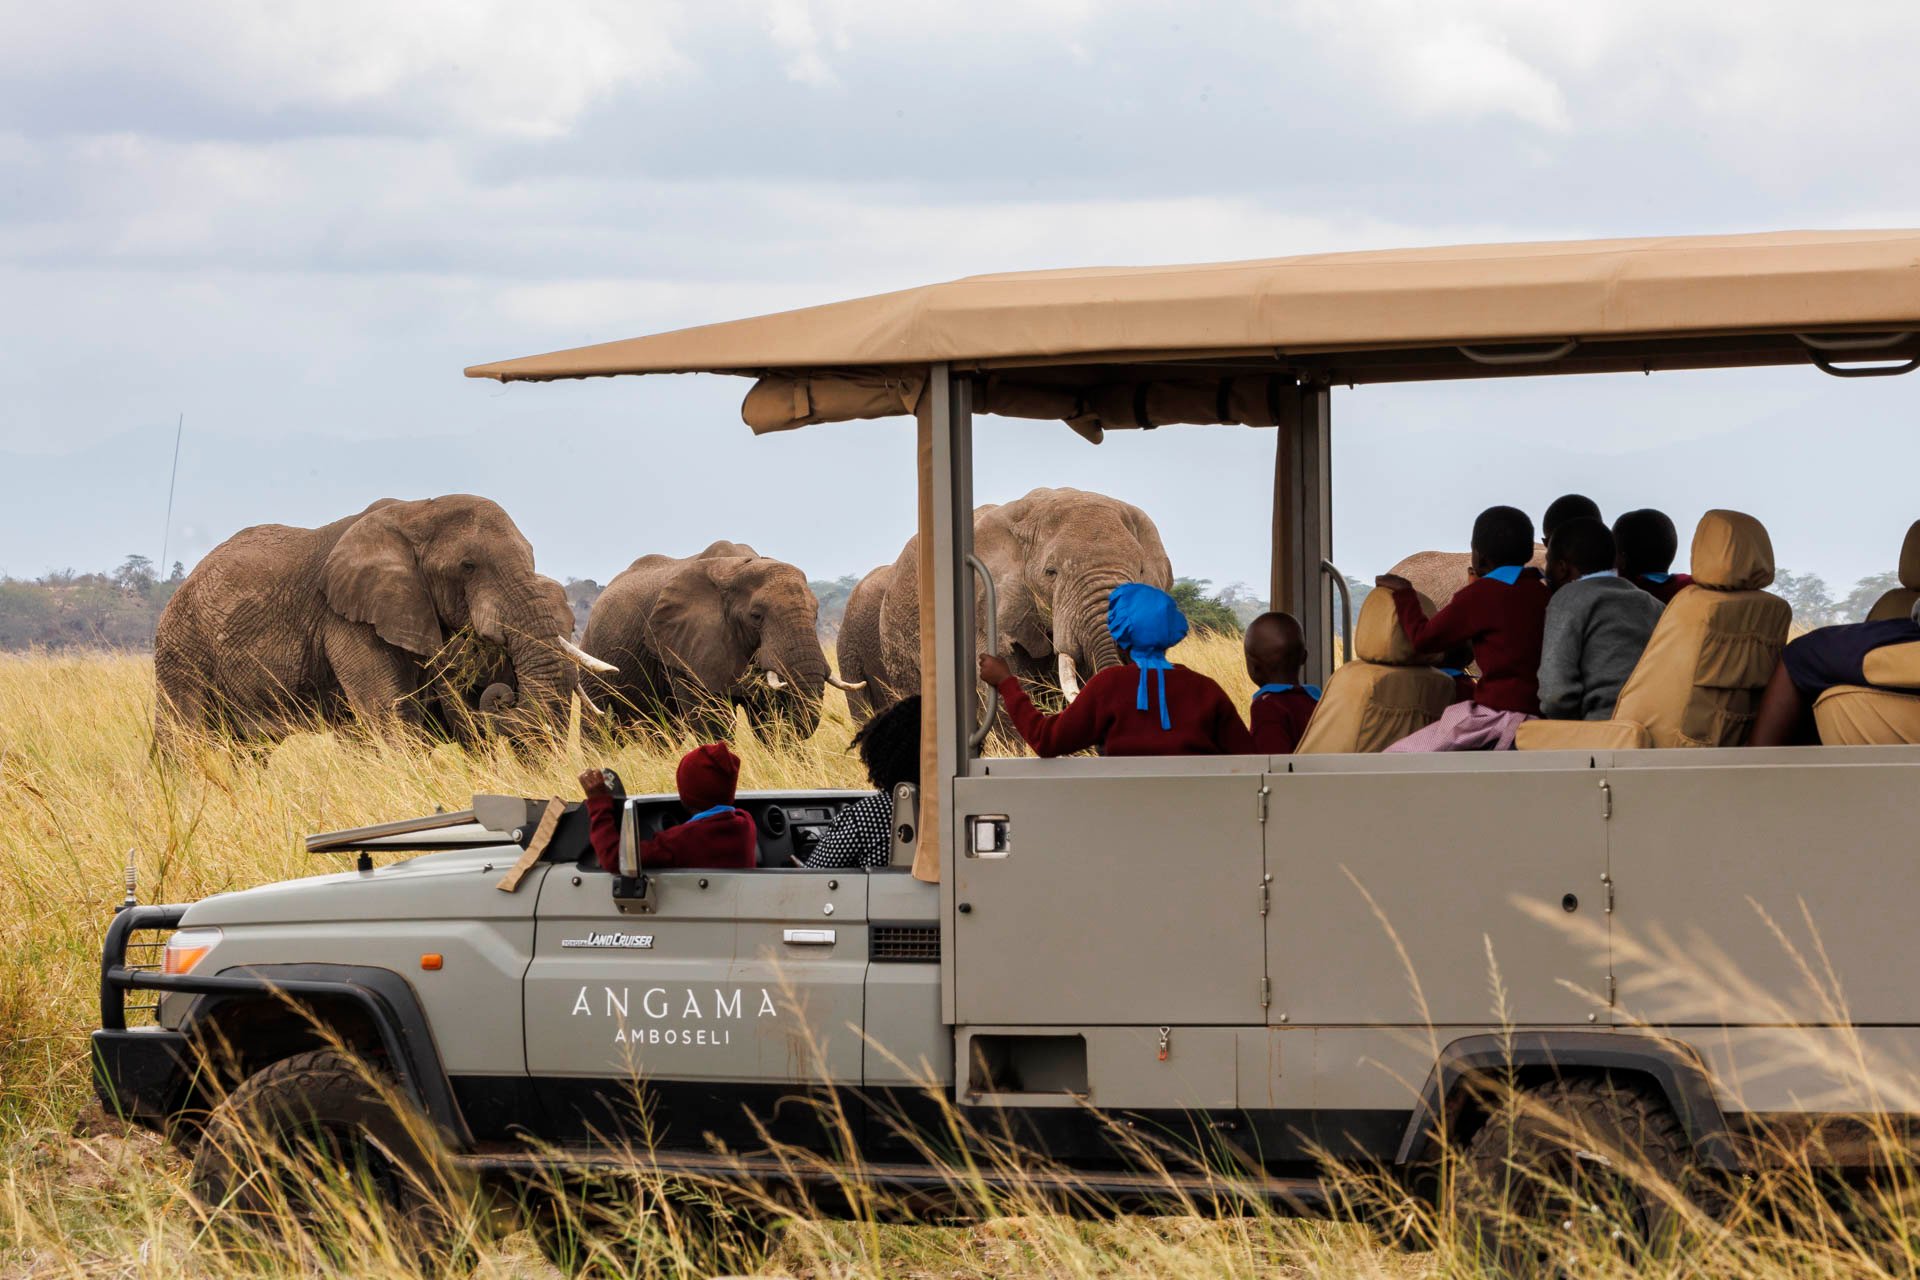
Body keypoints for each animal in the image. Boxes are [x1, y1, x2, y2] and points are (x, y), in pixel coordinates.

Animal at [159, 495, 606, 752]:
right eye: (468, 566)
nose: (504, 697)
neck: (416, 511)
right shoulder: (348, 619)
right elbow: (390, 717)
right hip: (181, 648)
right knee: (184, 740)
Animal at [576, 541, 864, 740]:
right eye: (756, 616)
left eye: (816, 614)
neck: (737, 567)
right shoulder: (684, 648)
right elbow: (712, 720)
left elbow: (768, 718)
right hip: (592, 659)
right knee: (597, 733)